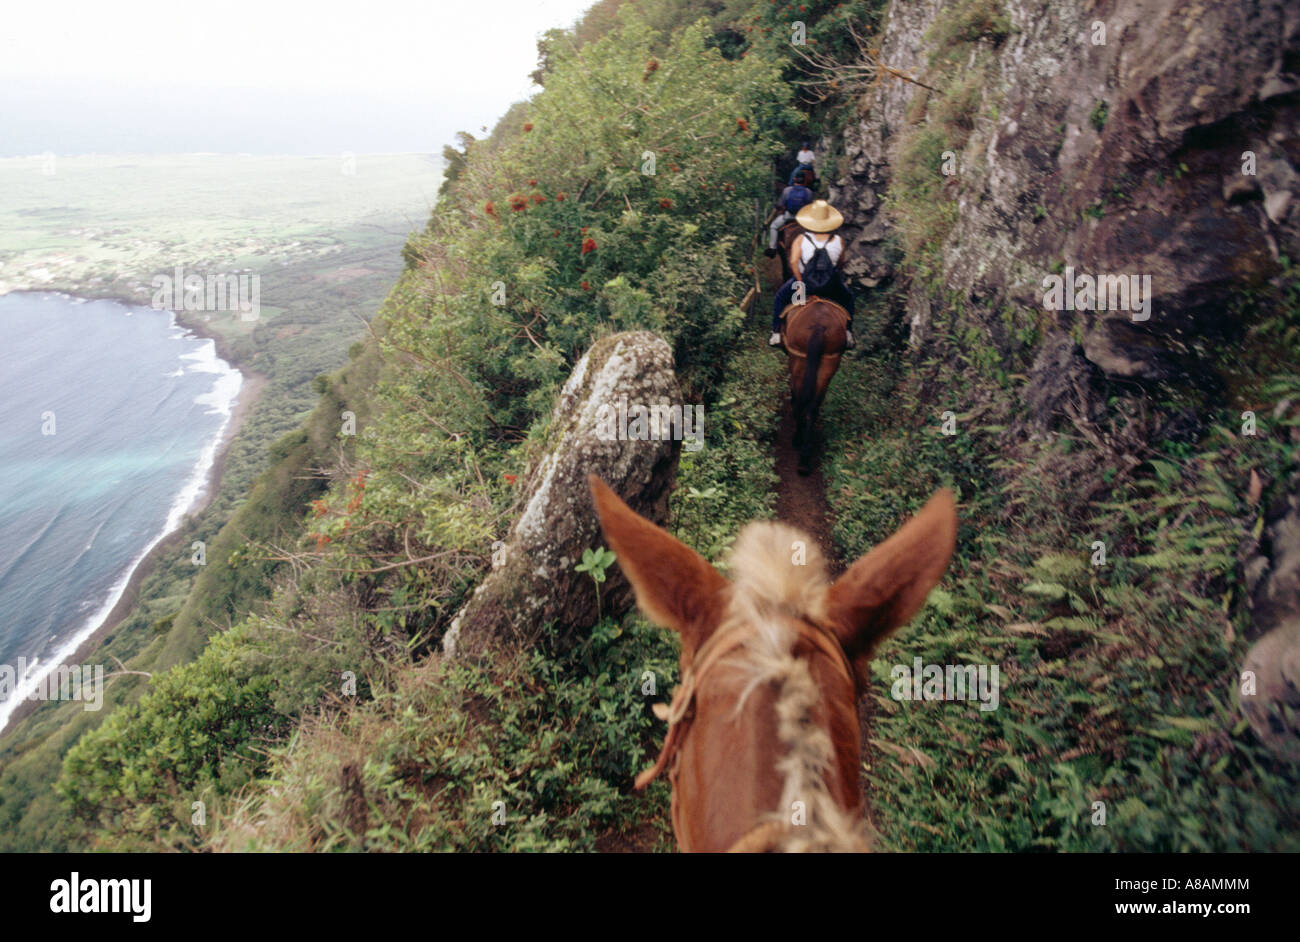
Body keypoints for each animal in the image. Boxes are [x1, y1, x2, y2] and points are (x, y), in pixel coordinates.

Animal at [774, 297, 847, 472]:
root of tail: (819, 324)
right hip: (828, 363)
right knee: (813, 406)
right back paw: (804, 458)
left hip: (799, 359)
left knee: (801, 401)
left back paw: (797, 440)